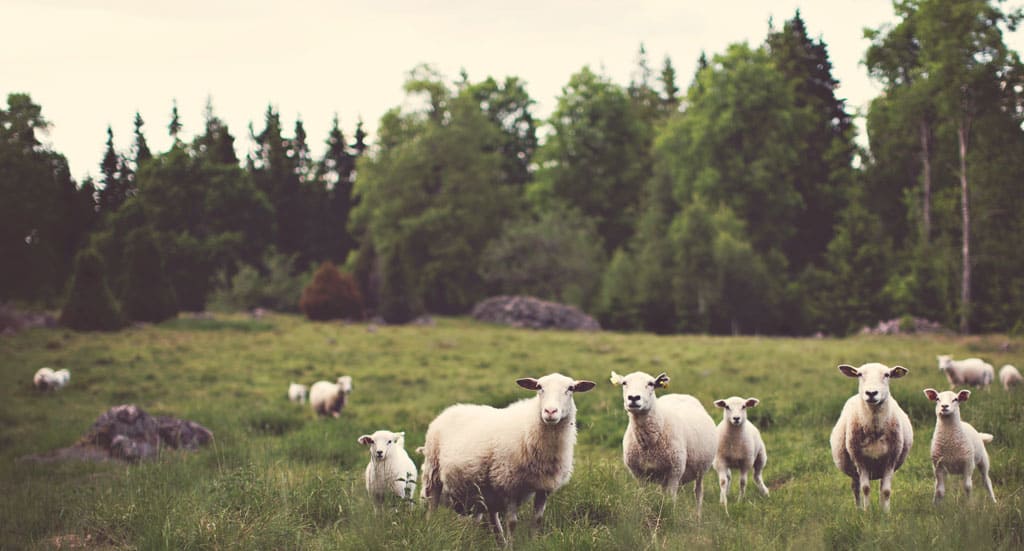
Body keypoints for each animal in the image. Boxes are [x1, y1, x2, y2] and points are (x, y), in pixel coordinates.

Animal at [419, 368, 598, 540]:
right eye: (539, 387)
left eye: (571, 388)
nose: (550, 411)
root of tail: (450, 409)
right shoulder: (509, 485)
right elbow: (512, 523)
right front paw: (512, 544)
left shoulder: (543, 487)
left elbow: (537, 520)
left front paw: (534, 542)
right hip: (433, 472)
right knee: (432, 507)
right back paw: (430, 530)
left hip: (484, 489)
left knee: (489, 518)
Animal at [610, 368, 716, 514]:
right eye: (624, 383)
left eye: (650, 384)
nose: (633, 398)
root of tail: (681, 395)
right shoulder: (639, 474)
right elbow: (642, 496)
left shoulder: (674, 472)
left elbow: (670, 501)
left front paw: (669, 515)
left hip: (700, 471)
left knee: (698, 493)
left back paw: (697, 516)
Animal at [827, 360, 917, 510]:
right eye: (859, 374)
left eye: (887, 375)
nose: (871, 393)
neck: (874, 429)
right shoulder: (859, 459)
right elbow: (865, 489)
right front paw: (867, 511)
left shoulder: (891, 459)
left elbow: (886, 491)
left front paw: (885, 512)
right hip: (854, 469)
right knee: (855, 487)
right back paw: (858, 509)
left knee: (880, 487)